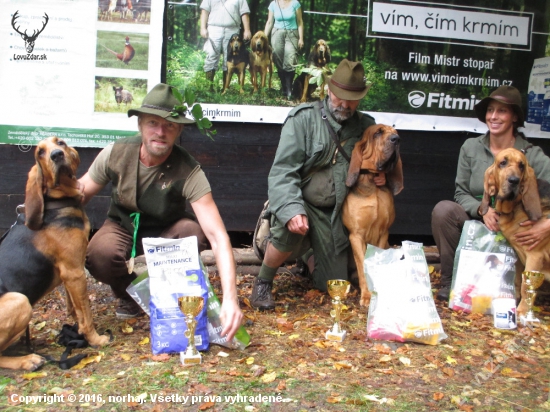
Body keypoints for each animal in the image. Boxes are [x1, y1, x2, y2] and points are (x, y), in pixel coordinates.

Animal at [0, 136, 109, 370]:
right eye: (40, 152)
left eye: (60, 142)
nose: (57, 155)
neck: (56, 202)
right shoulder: (74, 271)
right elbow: (86, 314)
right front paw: (95, 340)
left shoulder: (71, 273)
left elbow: (77, 308)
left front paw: (76, 333)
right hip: (20, 300)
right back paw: (28, 360)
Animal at [342, 123, 404, 306]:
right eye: (378, 133)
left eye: (396, 133)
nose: (396, 139)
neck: (373, 180)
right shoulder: (356, 235)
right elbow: (363, 266)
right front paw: (367, 296)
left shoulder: (384, 233)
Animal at [478, 148, 550, 316]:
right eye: (503, 163)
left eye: (522, 165)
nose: (514, 180)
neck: (514, 207)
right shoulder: (518, 256)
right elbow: (517, 281)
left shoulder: (534, 256)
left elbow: (526, 286)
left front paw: (522, 311)